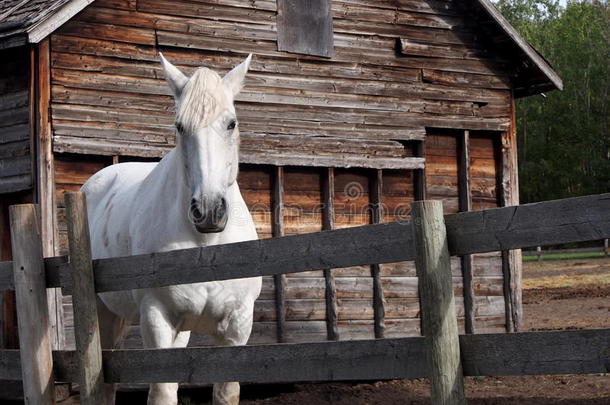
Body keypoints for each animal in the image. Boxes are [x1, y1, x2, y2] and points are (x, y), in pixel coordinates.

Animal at [81, 54, 258, 404]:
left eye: (231, 123)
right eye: (180, 126)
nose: (209, 210)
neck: (207, 246)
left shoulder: (237, 325)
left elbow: (225, 393)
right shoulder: (157, 319)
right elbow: (163, 392)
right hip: (104, 314)